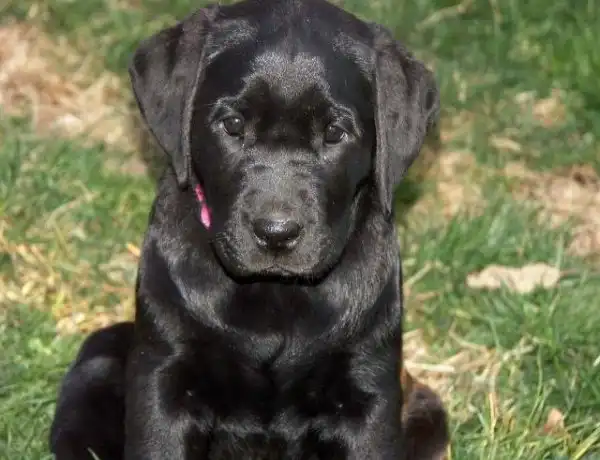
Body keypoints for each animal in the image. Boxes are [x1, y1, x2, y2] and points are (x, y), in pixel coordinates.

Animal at [49, 0, 447, 458]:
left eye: (335, 133)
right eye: (234, 125)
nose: (276, 233)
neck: (273, 295)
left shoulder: (368, 389)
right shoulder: (164, 379)